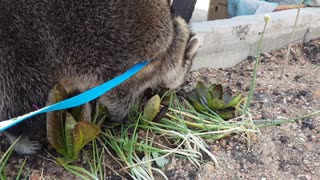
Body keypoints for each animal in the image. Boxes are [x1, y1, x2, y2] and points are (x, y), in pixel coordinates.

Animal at [0, 0, 200, 154]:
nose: (179, 89)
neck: (170, 46)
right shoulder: (123, 71)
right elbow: (115, 100)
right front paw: (124, 117)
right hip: (20, 56)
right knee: (26, 98)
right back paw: (18, 137)